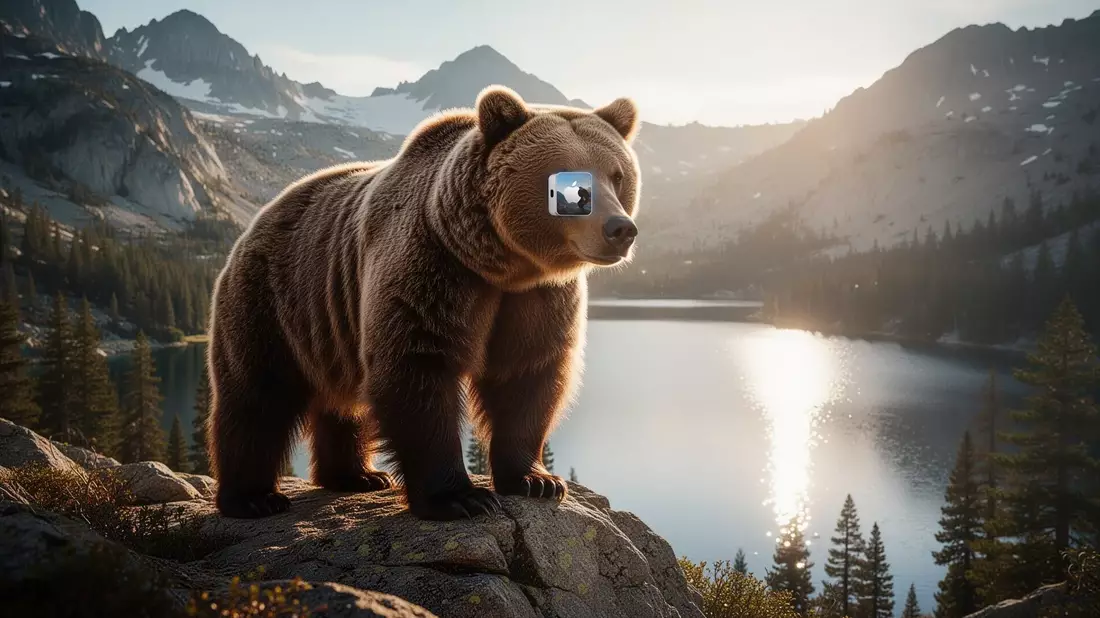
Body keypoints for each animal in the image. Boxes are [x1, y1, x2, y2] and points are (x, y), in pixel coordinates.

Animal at [205, 84, 641, 520]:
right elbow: (417, 368)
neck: (501, 265)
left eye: (618, 176)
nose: (620, 229)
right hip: (274, 302)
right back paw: (253, 497)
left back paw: (356, 476)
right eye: (570, 176)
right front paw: (459, 497)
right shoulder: (433, 267)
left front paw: (537, 481)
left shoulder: (535, 299)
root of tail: (258, 220)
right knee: (257, 396)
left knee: (342, 405)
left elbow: (526, 376)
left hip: (330, 330)